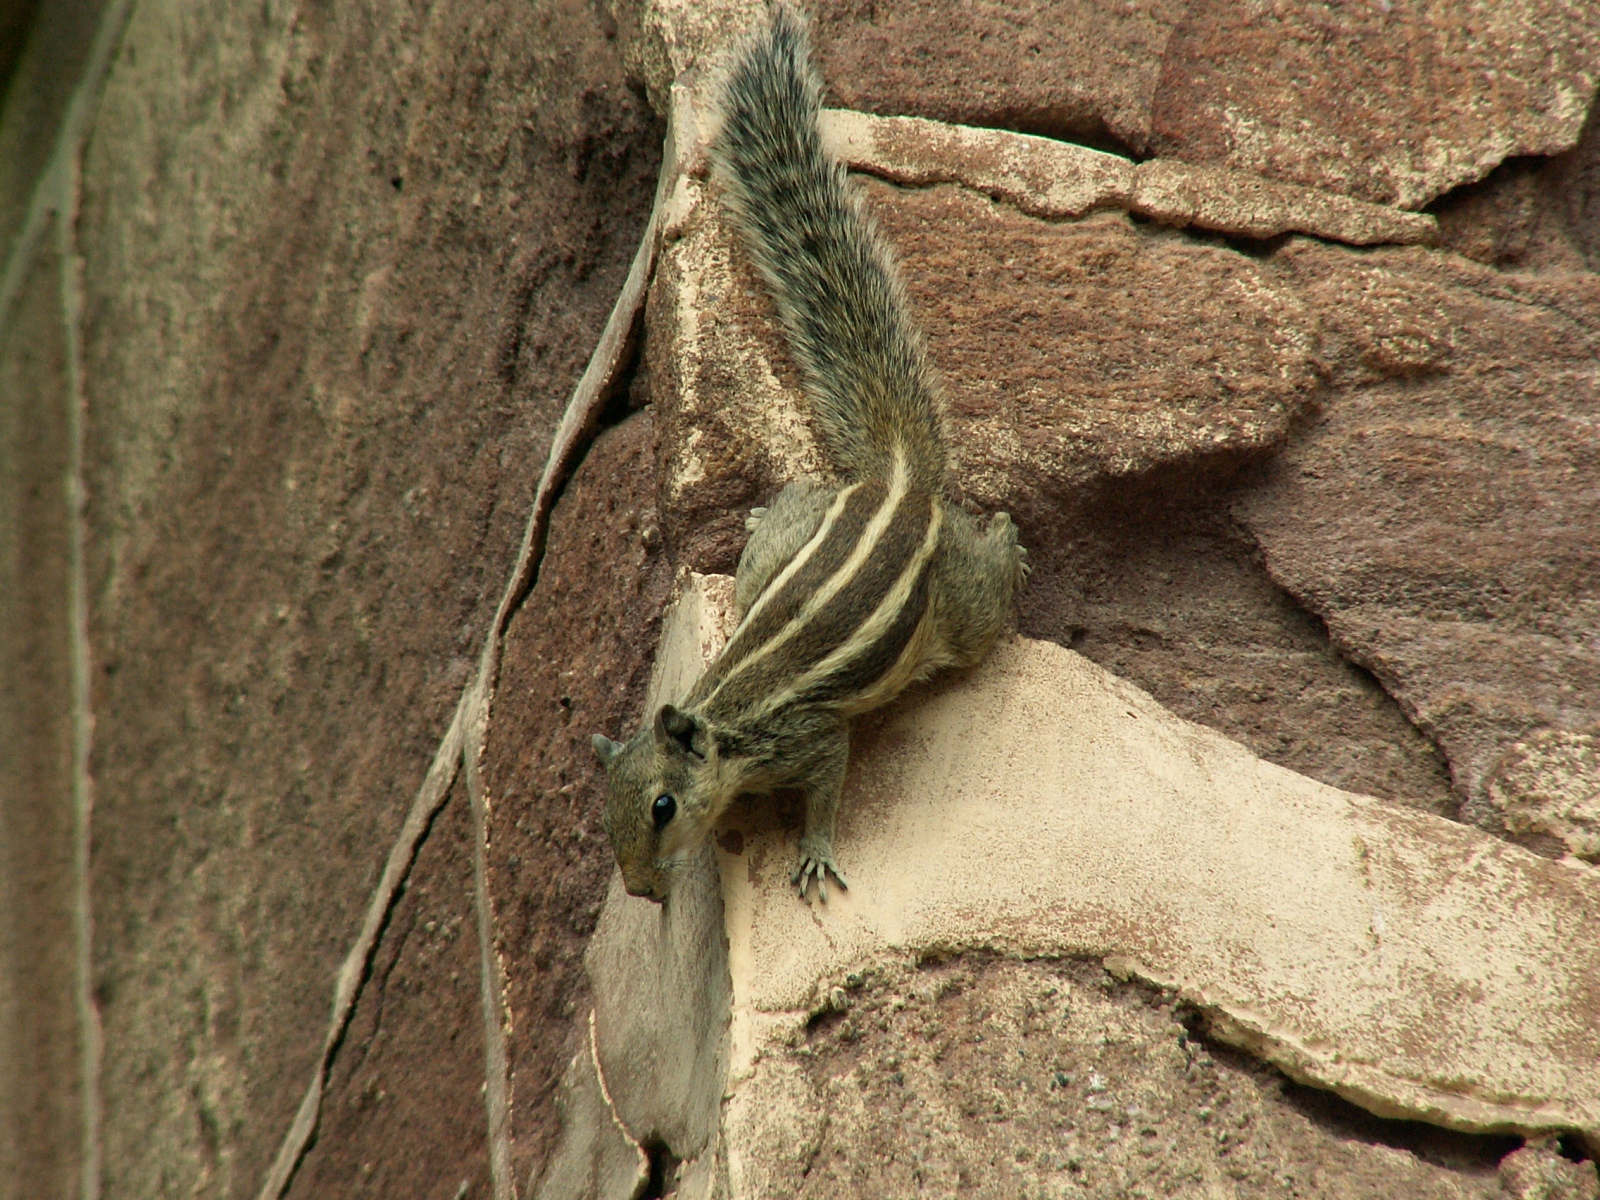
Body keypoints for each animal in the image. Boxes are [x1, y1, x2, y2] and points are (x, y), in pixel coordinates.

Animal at [591, 3, 1026, 903]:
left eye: (661, 806)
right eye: (608, 819)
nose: (645, 892)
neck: (728, 718)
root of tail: (896, 481)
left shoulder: (812, 738)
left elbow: (828, 787)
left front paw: (817, 851)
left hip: (957, 611)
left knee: (983, 597)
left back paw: (1008, 538)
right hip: (783, 549)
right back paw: (764, 513)